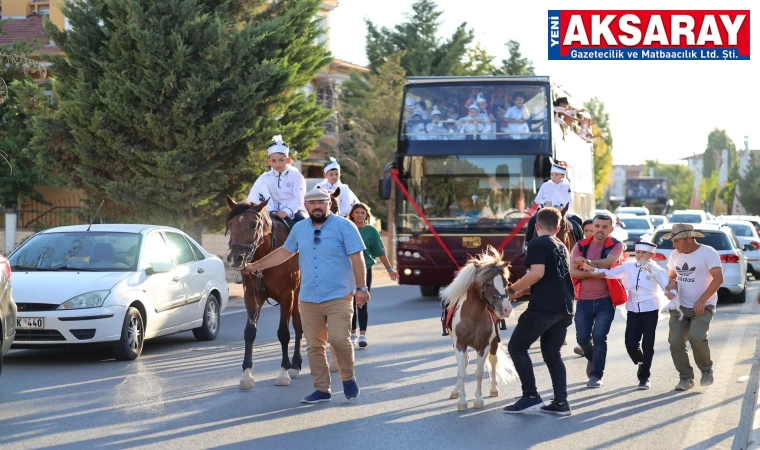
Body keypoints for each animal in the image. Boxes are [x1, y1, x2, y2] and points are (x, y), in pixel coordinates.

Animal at [442, 246, 520, 412]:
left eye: (505, 282)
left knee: (493, 361)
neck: (474, 317)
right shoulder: (460, 344)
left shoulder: (484, 346)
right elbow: (461, 372)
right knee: (464, 363)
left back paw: (494, 389)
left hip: (494, 343)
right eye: (488, 284)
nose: (506, 309)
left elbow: (479, 372)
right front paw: (462, 401)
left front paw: (478, 400)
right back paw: (456, 391)